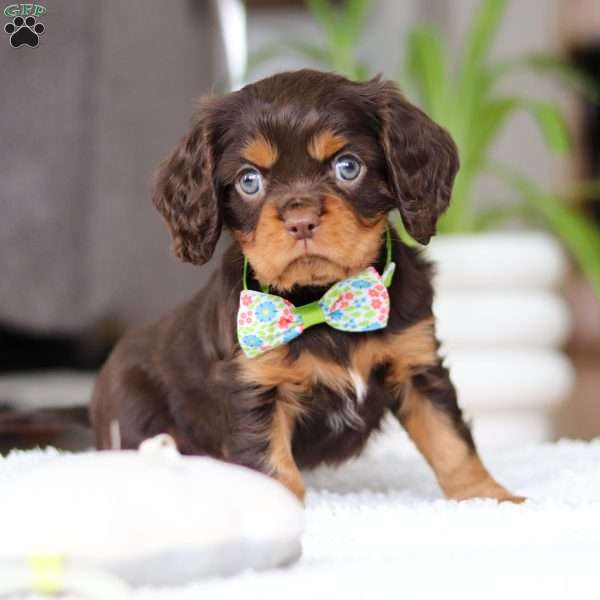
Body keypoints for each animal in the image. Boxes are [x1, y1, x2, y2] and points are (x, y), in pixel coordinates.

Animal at [90, 68, 524, 504]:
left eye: (347, 167)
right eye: (249, 180)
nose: (301, 221)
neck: (321, 301)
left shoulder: (416, 361)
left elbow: (450, 440)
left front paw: (490, 498)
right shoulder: (255, 387)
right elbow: (274, 466)